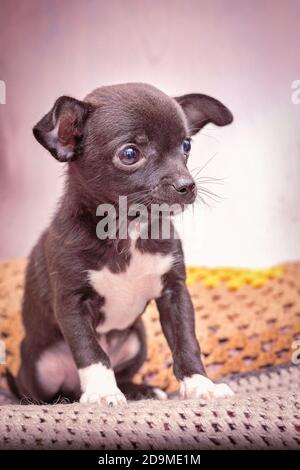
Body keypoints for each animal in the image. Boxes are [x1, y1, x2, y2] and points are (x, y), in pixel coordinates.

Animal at [14, 81, 234, 404]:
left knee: (123, 372)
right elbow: (91, 351)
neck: (127, 231)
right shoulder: (71, 303)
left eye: (186, 146)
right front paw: (102, 391)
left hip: (137, 339)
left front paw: (199, 383)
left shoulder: (175, 293)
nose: (187, 185)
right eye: (130, 154)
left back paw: (141, 390)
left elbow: (186, 340)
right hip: (40, 369)